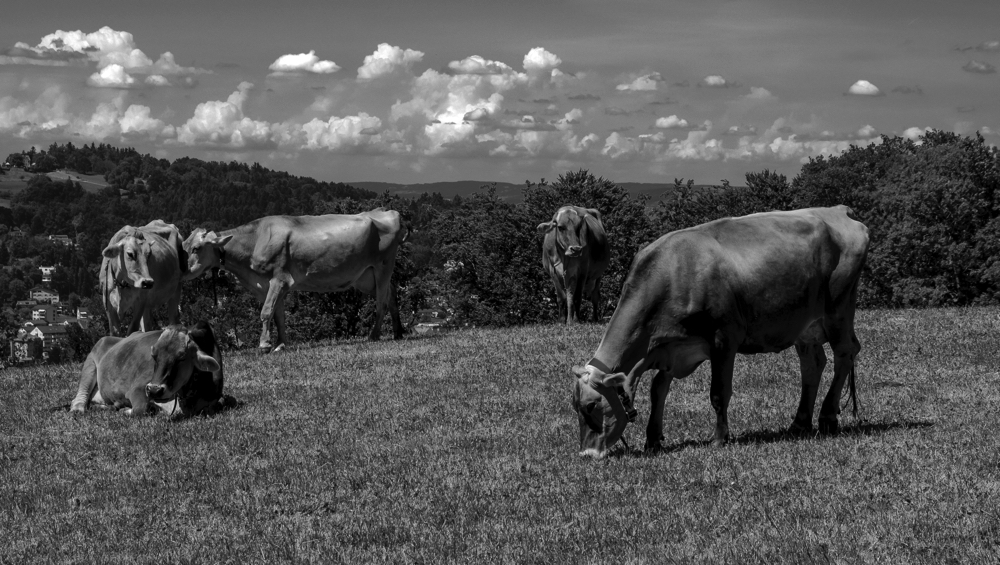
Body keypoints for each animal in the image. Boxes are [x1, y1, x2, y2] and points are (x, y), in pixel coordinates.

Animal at [69, 320, 226, 416]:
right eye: (154, 355)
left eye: (182, 357)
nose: (154, 390)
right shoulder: (137, 389)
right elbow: (140, 409)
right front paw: (126, 410)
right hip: (90, 363)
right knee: (78, 399)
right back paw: (80, 408)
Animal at [184, 207, 406, 350]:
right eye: (185, 247)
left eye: (197, 248)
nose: (185, 270)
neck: (255, 239)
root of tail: (387, 212)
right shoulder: (270, 285)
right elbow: (278, 316)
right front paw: (281, 344)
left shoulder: (280, 279)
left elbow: (266, 312)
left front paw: (264, 344)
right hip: (365, 276)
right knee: (392, 293)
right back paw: (398, 332)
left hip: (383, 266)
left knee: (381, 301)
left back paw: (374, 335)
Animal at [572, 207, 868, 458]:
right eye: (575, 406)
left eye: (591, 406)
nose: (587, 454)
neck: (673, 272)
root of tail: (838, 210)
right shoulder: (669, 348)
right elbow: (658, 390)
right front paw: (653, 439)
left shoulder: (724, 339)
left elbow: (718, 392)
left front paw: (719, 438)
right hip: (805, 326)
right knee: (813, 365)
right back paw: (800, 422)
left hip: (839, 309)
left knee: (845, 353)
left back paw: (827, 417)